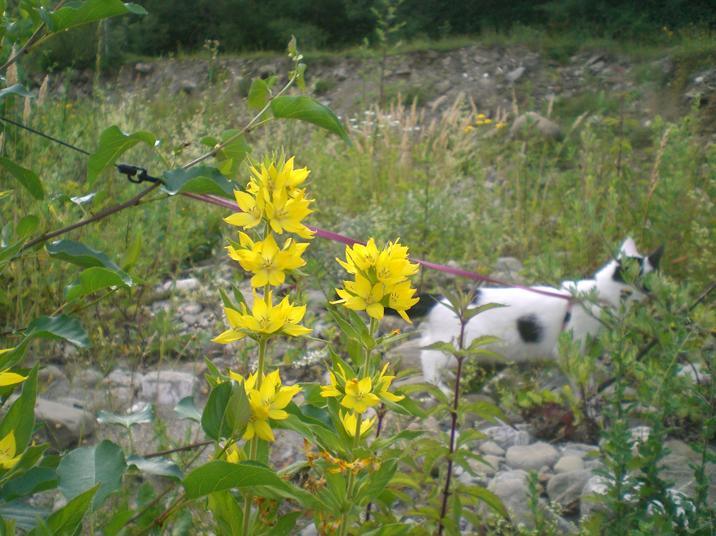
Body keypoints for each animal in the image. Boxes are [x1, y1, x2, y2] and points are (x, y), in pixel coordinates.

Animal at [420, 239, 660, 390]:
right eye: (647, 282)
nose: (658, 293)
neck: (596, 294)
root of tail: (438, 298)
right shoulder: (569, 346)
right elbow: (577, 376)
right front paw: (587, 392)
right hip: (462, 342)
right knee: (428, 357)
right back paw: (440, 387)